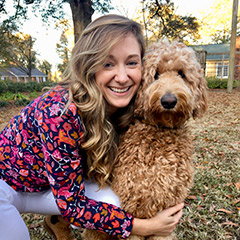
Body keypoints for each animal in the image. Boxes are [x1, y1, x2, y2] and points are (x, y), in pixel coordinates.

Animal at [81, 40, 207, 240]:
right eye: (155, 74)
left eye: (181, 73)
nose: (169, 101)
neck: (161, 131)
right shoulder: (137, 207)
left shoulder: (168, 210)